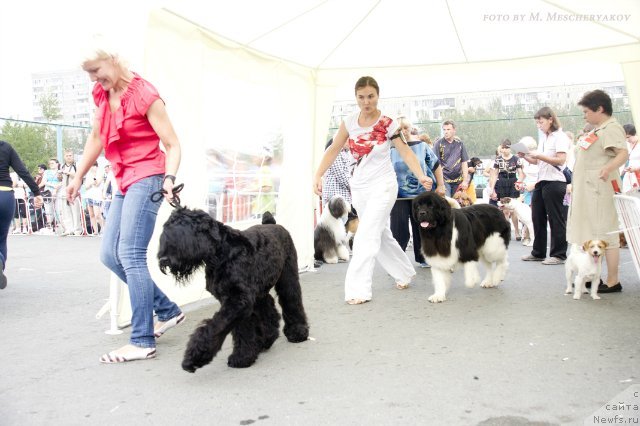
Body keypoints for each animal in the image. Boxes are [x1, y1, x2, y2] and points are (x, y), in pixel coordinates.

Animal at [159, 208, 310, 372]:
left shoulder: (238, 300)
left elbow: (215, 327)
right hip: (259, 290)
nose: (163, 260)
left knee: (291, 300)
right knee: (268, 305)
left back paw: (297, 332)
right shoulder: (234, 300)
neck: (220, 253)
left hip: (287, 277)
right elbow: (240, 328)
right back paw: (267, 338)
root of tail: (272, 224)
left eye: (182, 231)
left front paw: (195, 356)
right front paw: (244, 356)